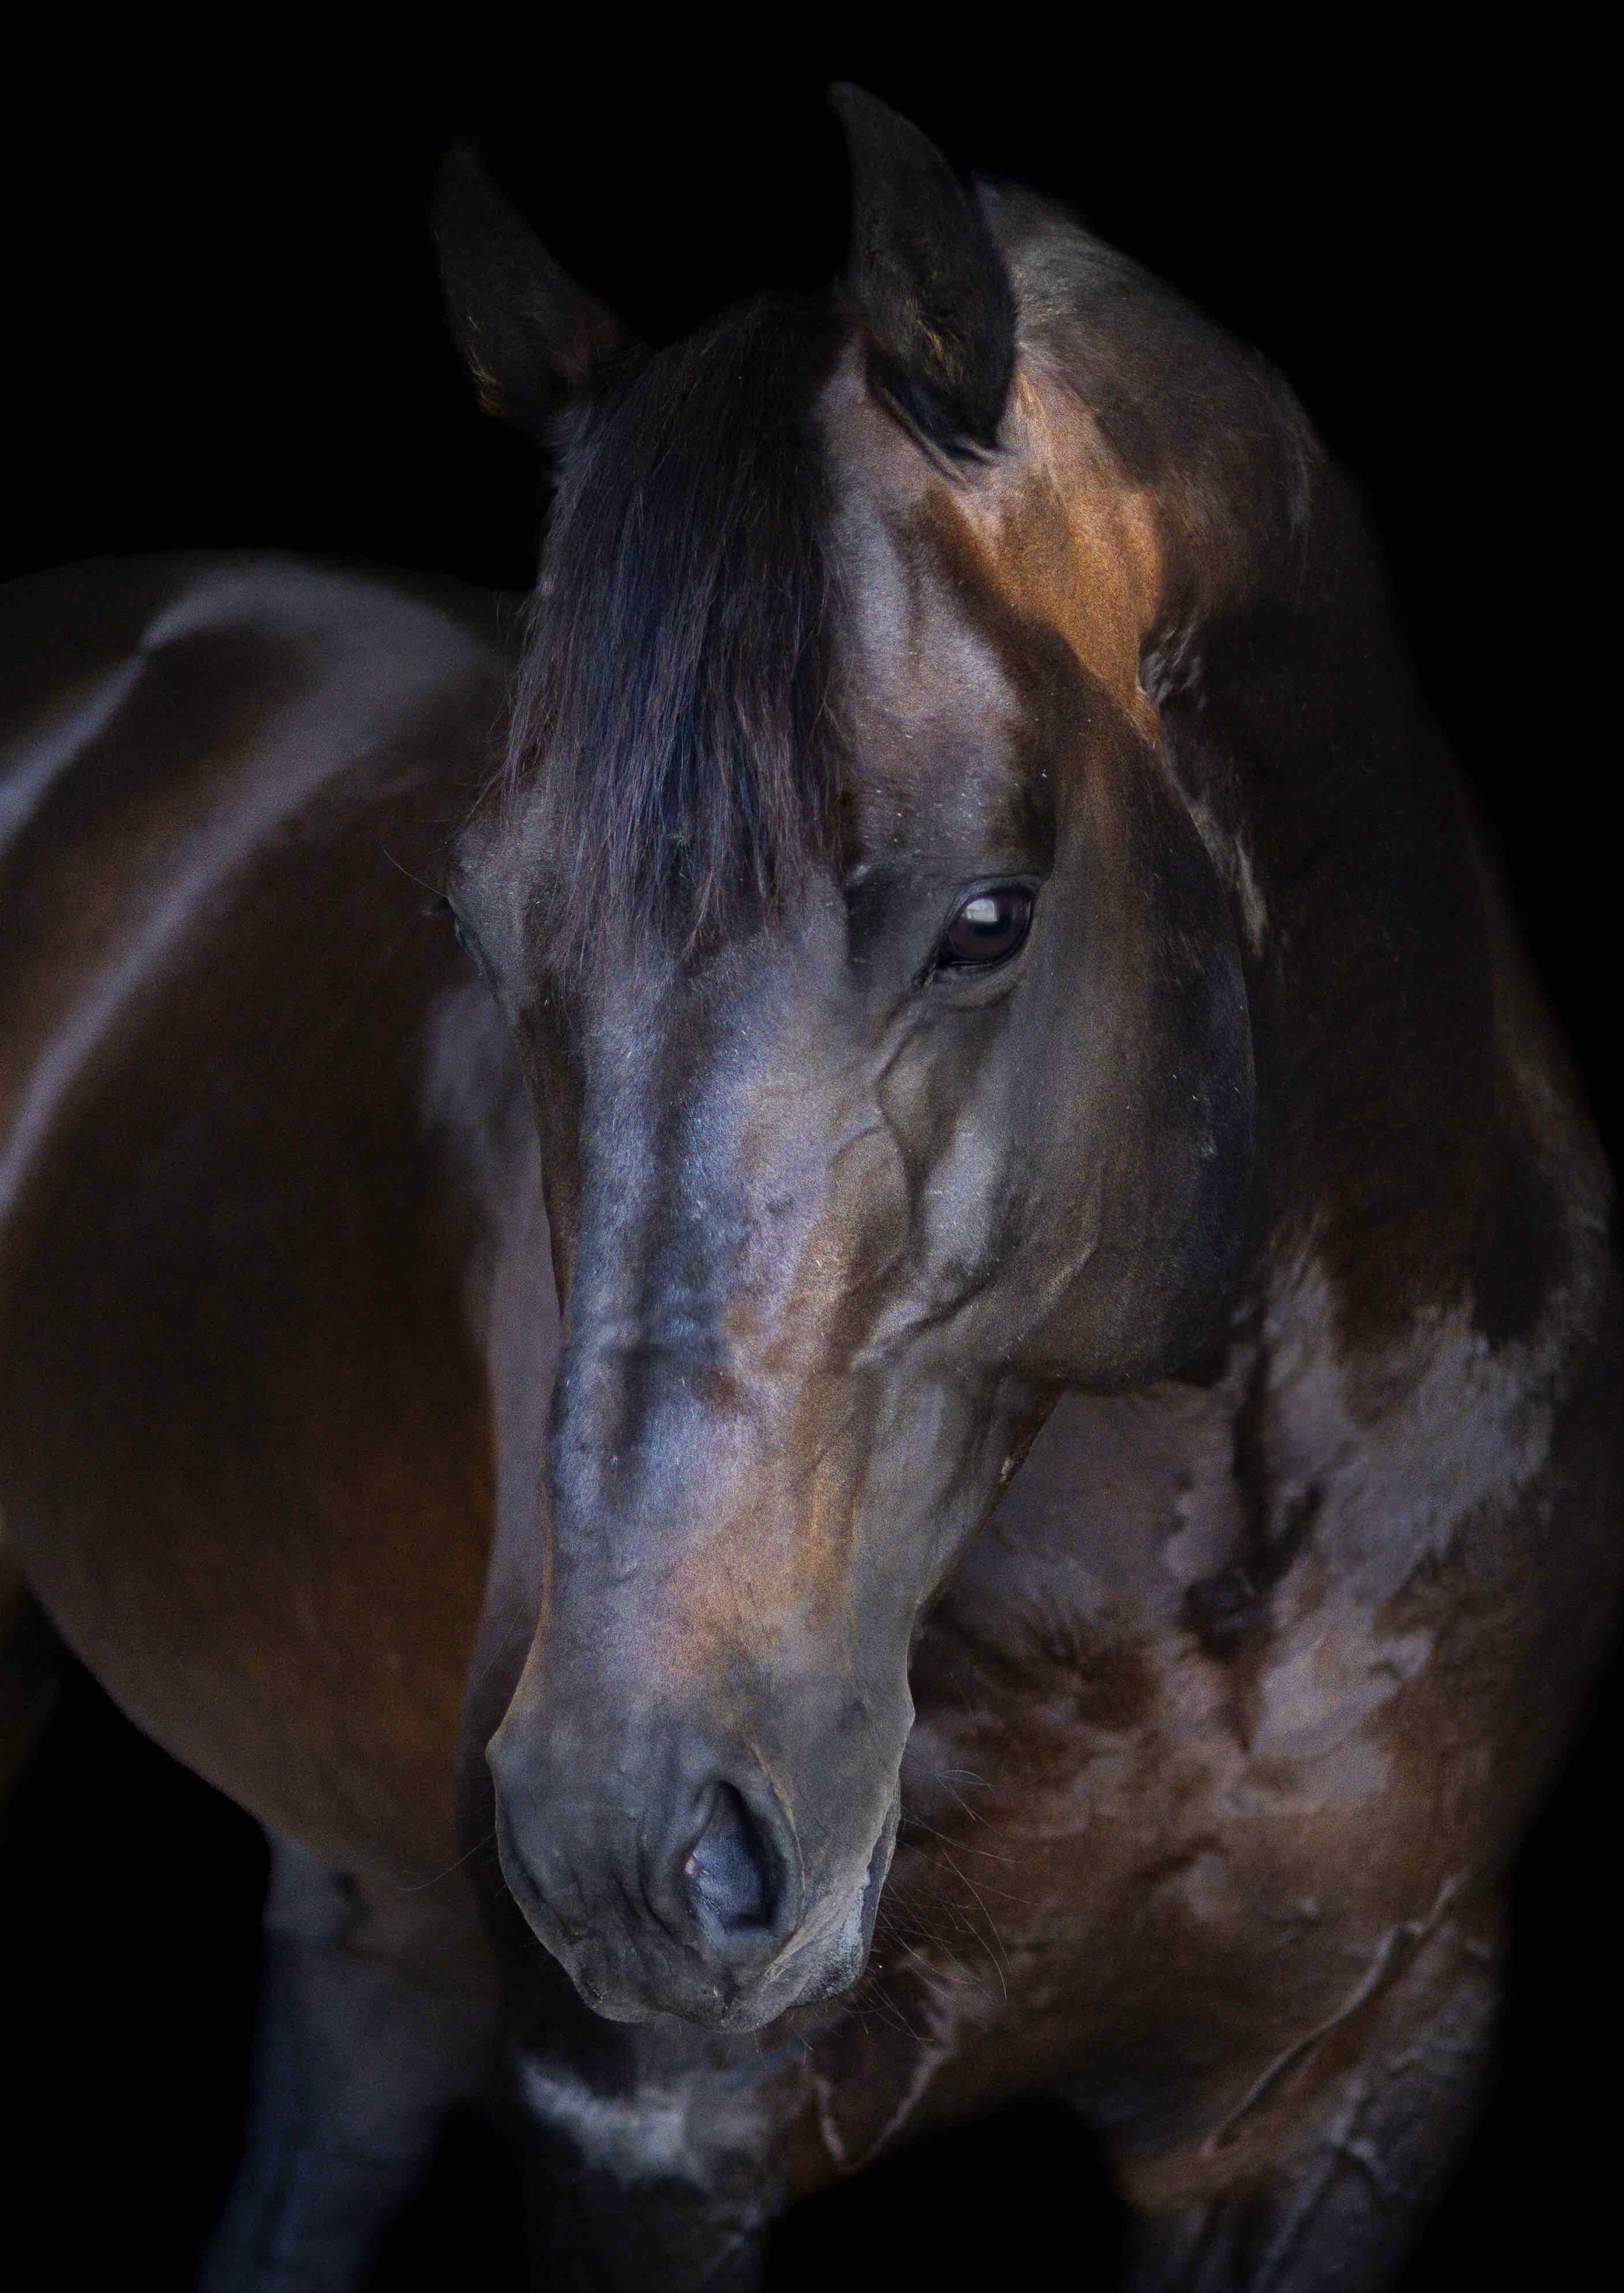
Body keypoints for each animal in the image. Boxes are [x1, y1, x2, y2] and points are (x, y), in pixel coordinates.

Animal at [2, 87, 1618, 2291]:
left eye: (989, 915)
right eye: (485, 935)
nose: (620, 1841)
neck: (1209, 1587)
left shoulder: (1352, 2091)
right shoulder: (641, 2138)